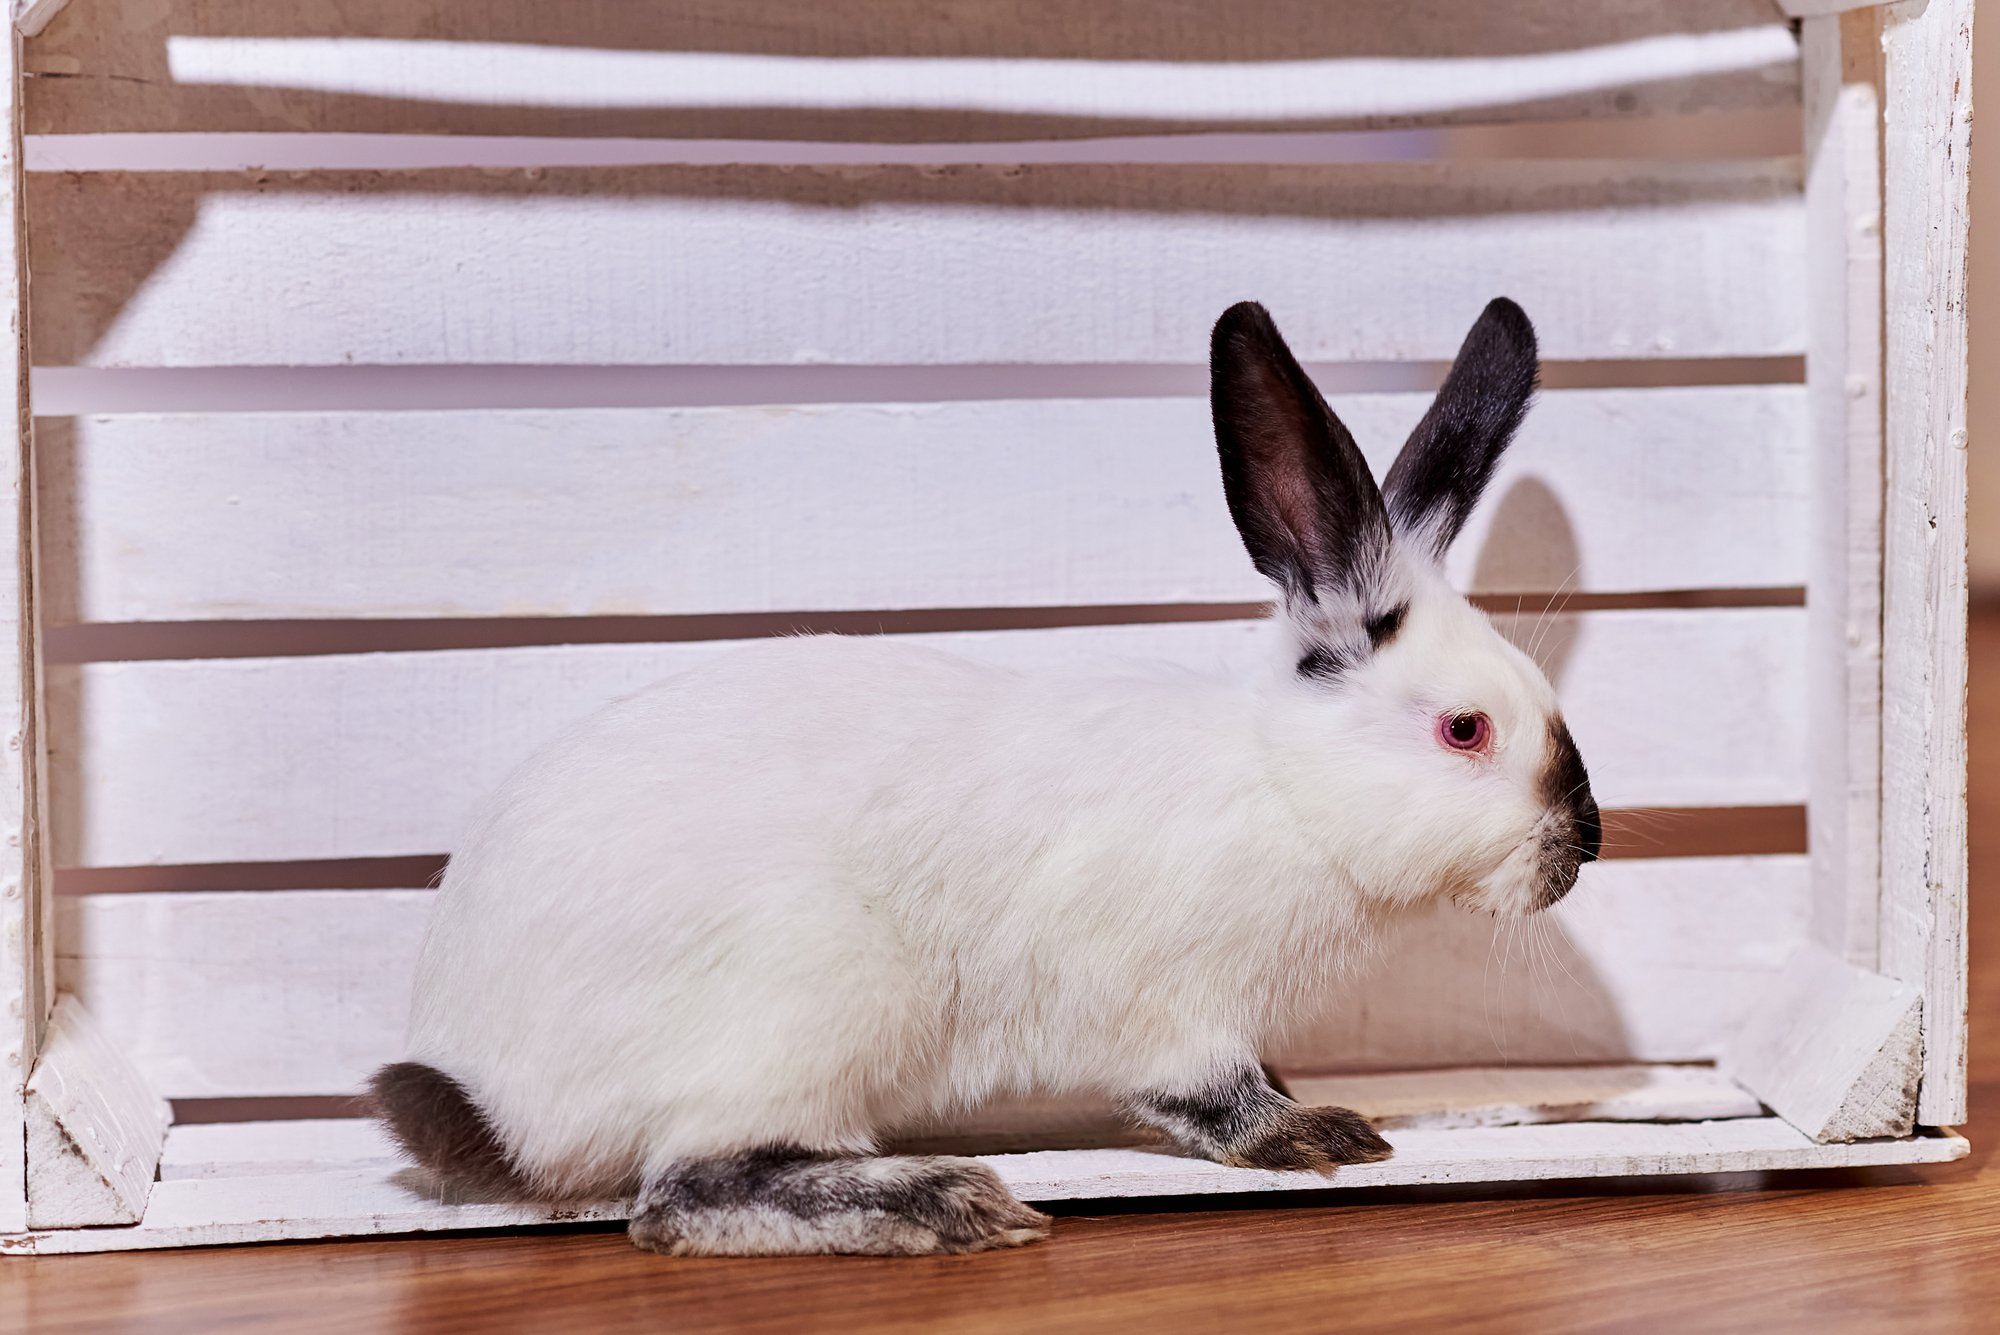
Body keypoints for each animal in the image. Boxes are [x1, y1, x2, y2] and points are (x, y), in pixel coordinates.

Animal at [372, 297, 1600, 1257]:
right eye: (1463, 730)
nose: (1581, 846)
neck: (1284, 787)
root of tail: (499, 1098)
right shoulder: (1167, 1006)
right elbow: (1207, 1094)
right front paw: (1312, 1132)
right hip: (804, 1003)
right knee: (681, 1196)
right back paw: (945, 1202)